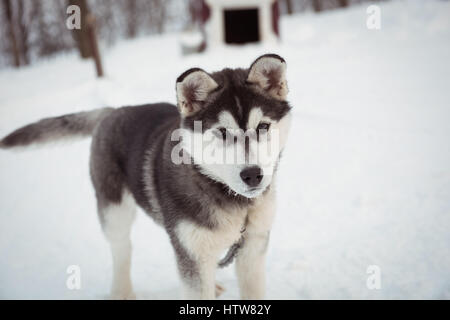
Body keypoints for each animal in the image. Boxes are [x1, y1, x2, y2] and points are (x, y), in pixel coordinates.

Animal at [0, 53, 294, 298]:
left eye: (263, 126)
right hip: (114, 212)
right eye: (221, 132)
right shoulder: (190, 253)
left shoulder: (252, 249)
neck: (231, 200)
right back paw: (121, 292)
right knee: (122, 251)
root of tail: (113, 111)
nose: (253, 175)